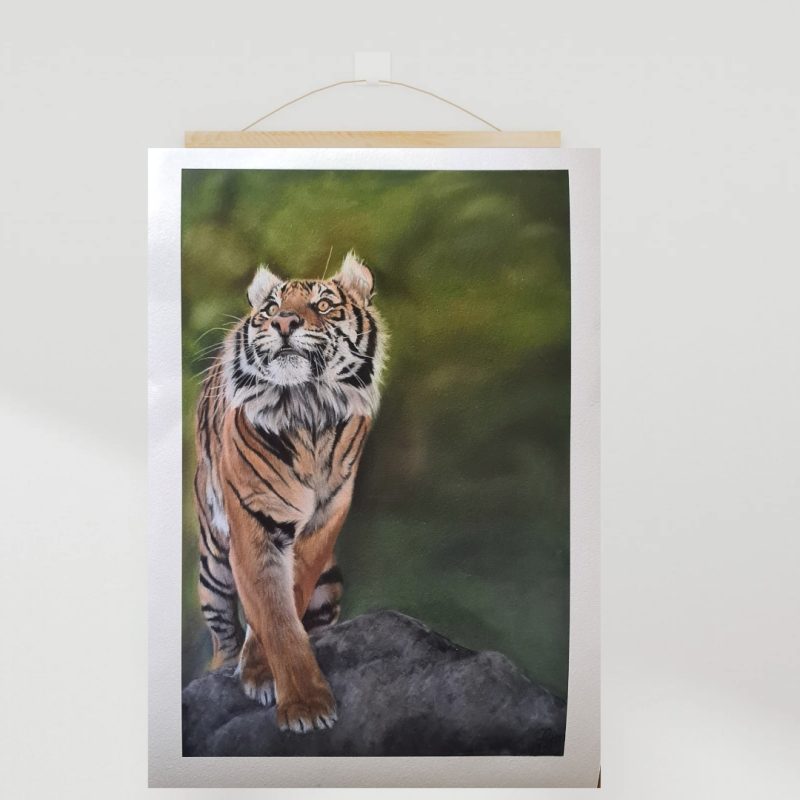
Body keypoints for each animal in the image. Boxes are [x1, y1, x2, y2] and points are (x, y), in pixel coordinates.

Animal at [193, 251, 386, 734]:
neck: (308, 407)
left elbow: (287, 601)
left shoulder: (323, 521)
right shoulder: (255, 523)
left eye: (324, 304)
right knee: (222, 629)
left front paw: (266, 673)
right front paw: (305, 707)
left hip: (330, 582)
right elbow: (273, 613)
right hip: (212, 563)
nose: (283, 322)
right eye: (270, 308)